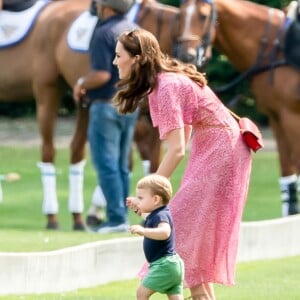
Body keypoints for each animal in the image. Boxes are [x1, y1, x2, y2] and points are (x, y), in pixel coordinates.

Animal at [175, 0, 300, 216]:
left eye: (203, 16)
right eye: (180, 15)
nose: (186, 56)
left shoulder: (292, 116)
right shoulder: (277, 118)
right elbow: (289, 181)